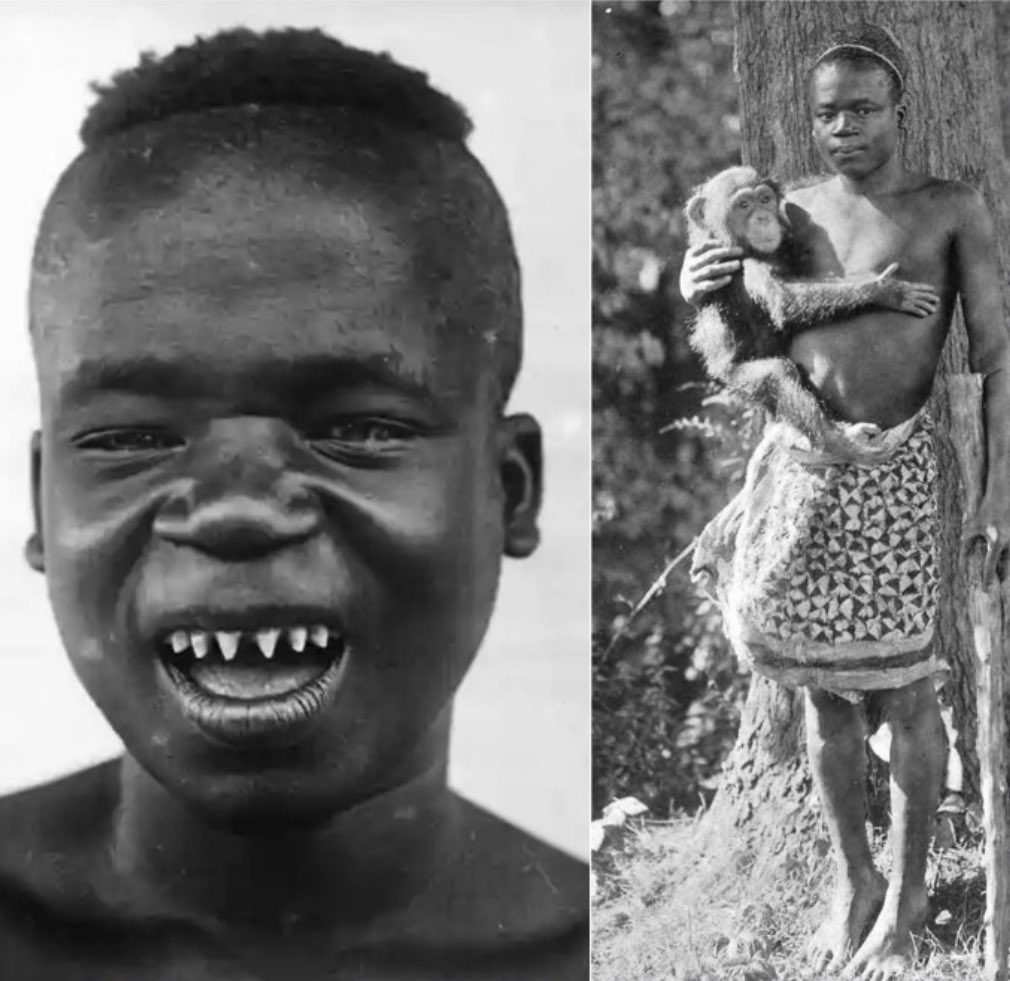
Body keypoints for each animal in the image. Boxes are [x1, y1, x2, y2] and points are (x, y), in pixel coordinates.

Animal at [683, 166, 940, 447]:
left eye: (765, 199)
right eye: (743, 205)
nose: (762, 217)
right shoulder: (747, 265)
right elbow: (782, 300)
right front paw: (886, 289)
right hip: (736, 377)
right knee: (777, 374)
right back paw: (839, 441)